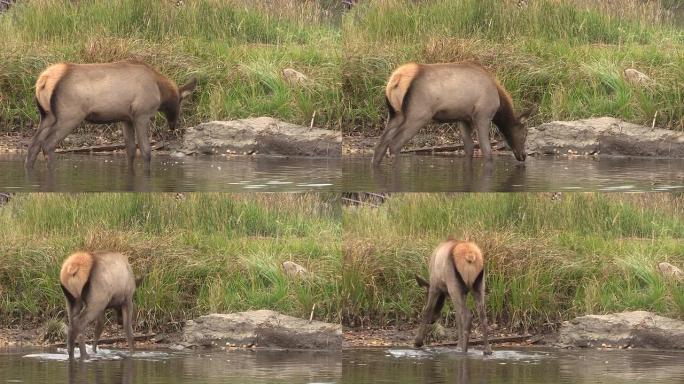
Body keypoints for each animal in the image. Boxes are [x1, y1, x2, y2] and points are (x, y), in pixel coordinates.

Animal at [372, 62, 536, 166]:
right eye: (525, 133)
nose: (523, 155)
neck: (500, 103)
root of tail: (397, 79)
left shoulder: (463, 118)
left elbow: (469, 148)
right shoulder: (483, 115)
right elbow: (486, 151)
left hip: (395, 114)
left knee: (380, 144)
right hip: (418, 114)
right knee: (394, 144)